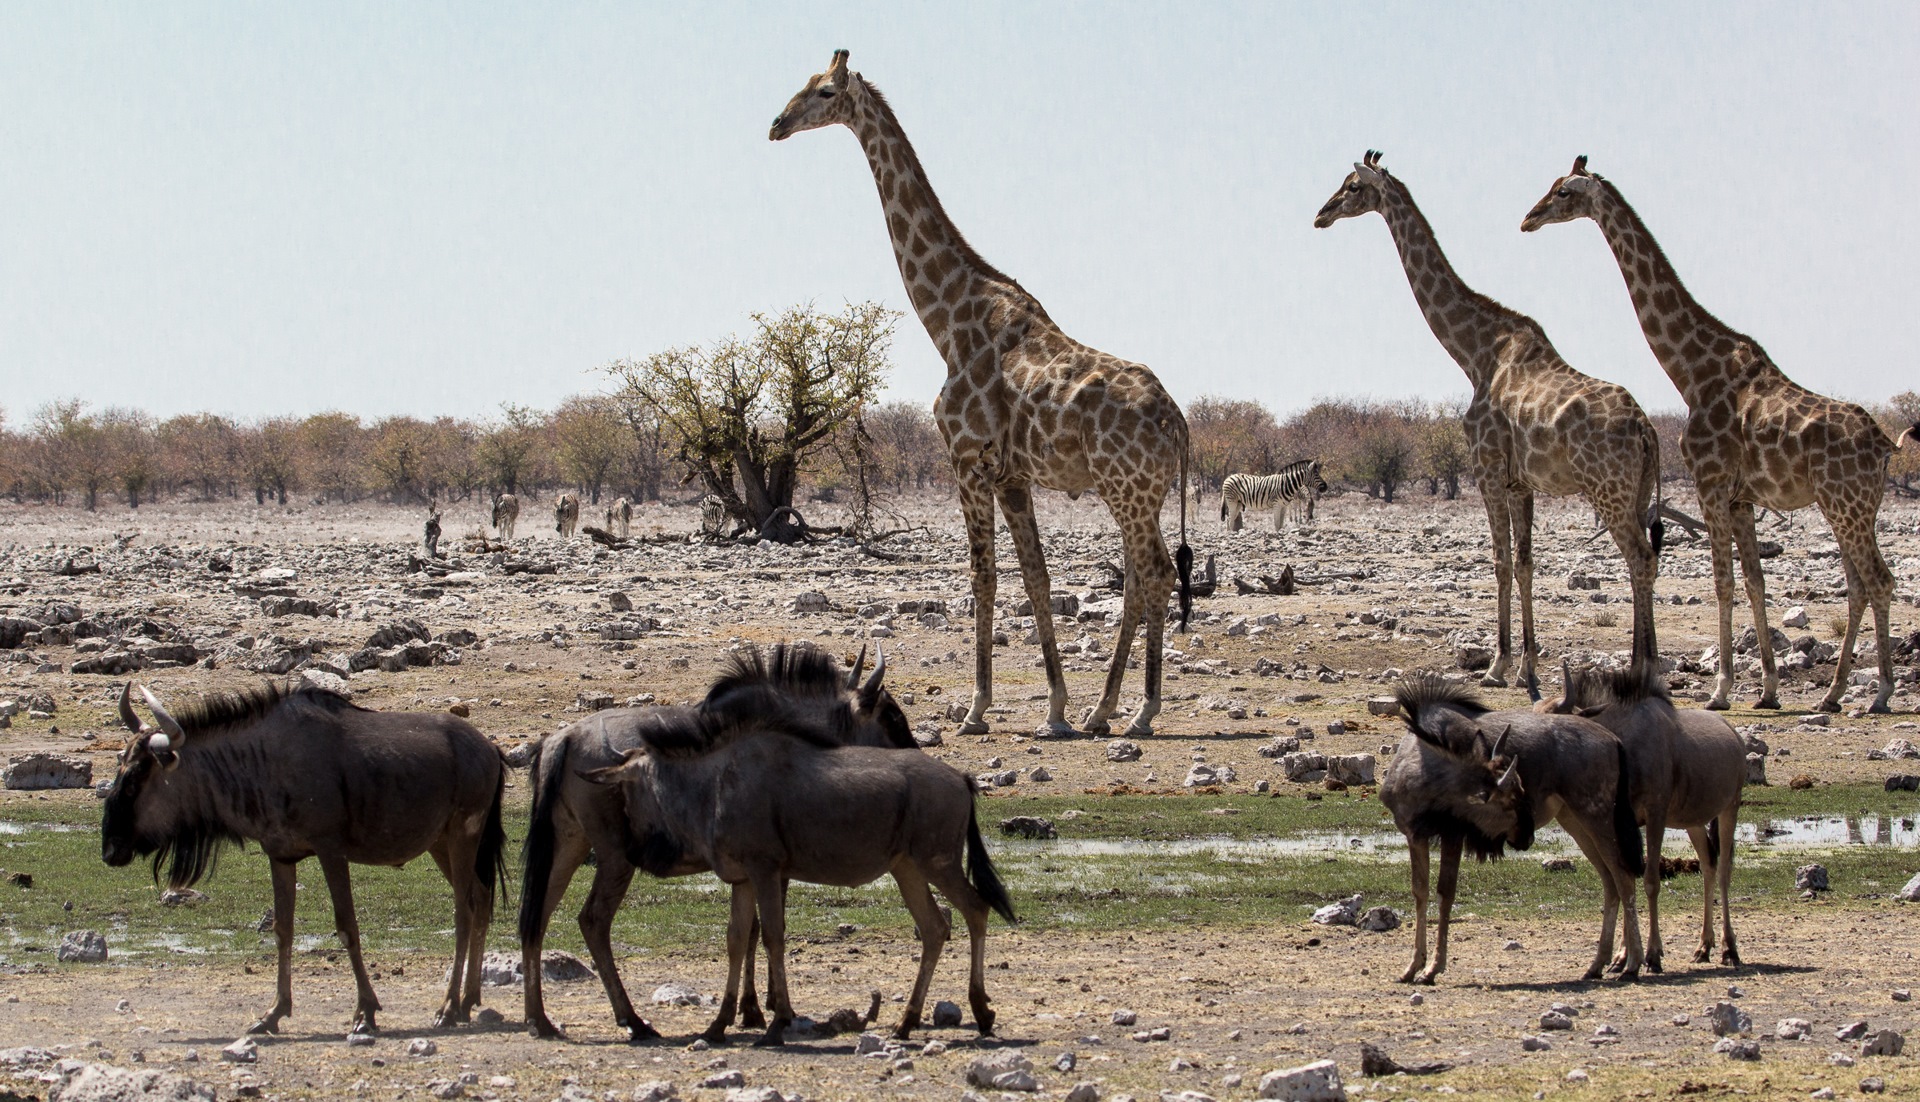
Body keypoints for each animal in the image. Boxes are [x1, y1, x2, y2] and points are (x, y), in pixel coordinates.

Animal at [760, 53, 1182, 744]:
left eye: (822, 91)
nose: (776, 123)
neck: (949, 322)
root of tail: (1178, 422)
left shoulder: (965, 459)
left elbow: (983, 578)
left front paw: (977, 709)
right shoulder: (1011, 475)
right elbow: (1035, 578)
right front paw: (1056, 708)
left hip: (1128, 489)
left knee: (1157, 574)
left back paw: (1142, 712)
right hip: (1138, 494)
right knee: (1139, 579)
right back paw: (1104, 711)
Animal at [1320, 151, 1666, 698]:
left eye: (1353, 187)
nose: (1322, 214)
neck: (1476, 352)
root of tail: (1648, 432)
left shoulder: (1486, 472)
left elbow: (1501, 562)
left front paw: (1496, 664)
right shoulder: (1521, 483)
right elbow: (1525, 564)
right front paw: (1527, 666)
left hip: (1607, 491)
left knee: (1640, 558)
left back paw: (1644, 669)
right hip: (1636, 489)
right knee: (1643, 560)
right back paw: (1643, 665)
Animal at [1520, 159, 1912, 718]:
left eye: (1565, 193)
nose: (1528, 218)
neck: (1691, 371)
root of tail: (1886, 446)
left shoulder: (1710, 483)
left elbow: (1723, 582)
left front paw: (1722, 689)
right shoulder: (1742, 497)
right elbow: (1754, 581)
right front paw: (1767, 688)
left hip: (1846, 504)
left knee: (1879, 580)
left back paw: (1879, 692)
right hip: (1855, 506)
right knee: (1859, 585)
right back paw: (1834, 692)